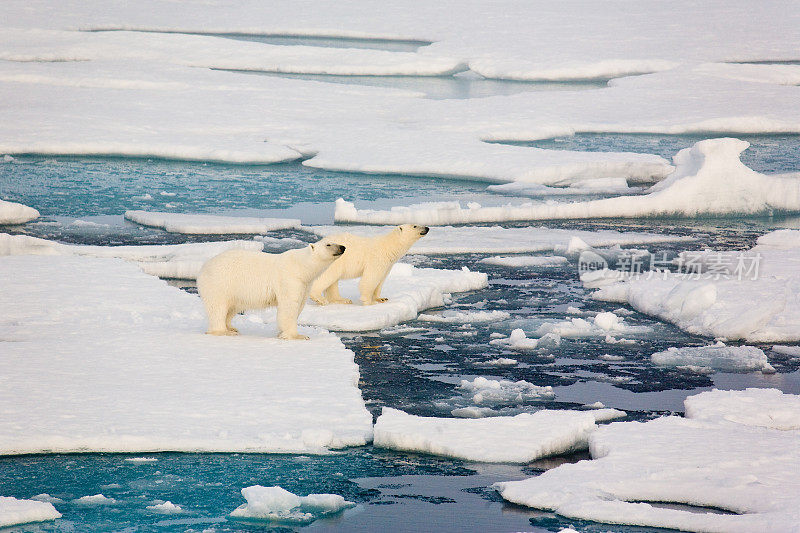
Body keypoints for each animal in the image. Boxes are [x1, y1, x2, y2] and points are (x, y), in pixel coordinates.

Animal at [198, 239, 346, 338]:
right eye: (328, 244)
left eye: (335, 242)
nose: (343, 247)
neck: (301, 266)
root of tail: (204, 267)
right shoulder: (290, 278)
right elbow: (289, 305)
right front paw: (298, 336)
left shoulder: (305, 283)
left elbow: (300, 304)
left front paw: (282, 332)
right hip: (220, 283)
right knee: (218, 307)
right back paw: (222, 331)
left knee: (232, 307)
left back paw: (232, 328)